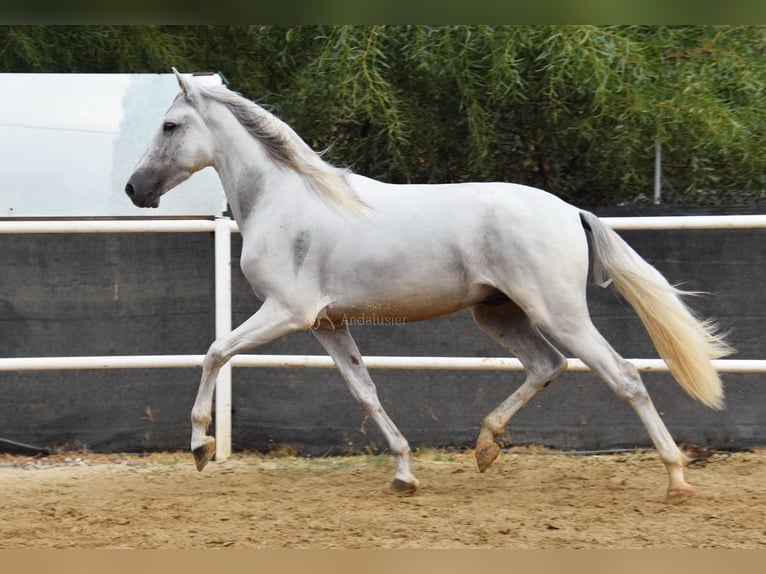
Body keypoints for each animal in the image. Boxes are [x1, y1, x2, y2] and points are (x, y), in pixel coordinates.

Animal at [125, 69, 731, 504]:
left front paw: (201, 445)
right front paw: (403, 473)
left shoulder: (286, 312)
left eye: (170, 126)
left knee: (624, 376)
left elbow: (214, 351)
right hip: (498, 313)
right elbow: (364, 390)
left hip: (558, 313)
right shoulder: (327, 323)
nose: (135, 189)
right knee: (547, 366)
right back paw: (486, 447)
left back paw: (677, 480)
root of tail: (569, 211)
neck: (284, 200)